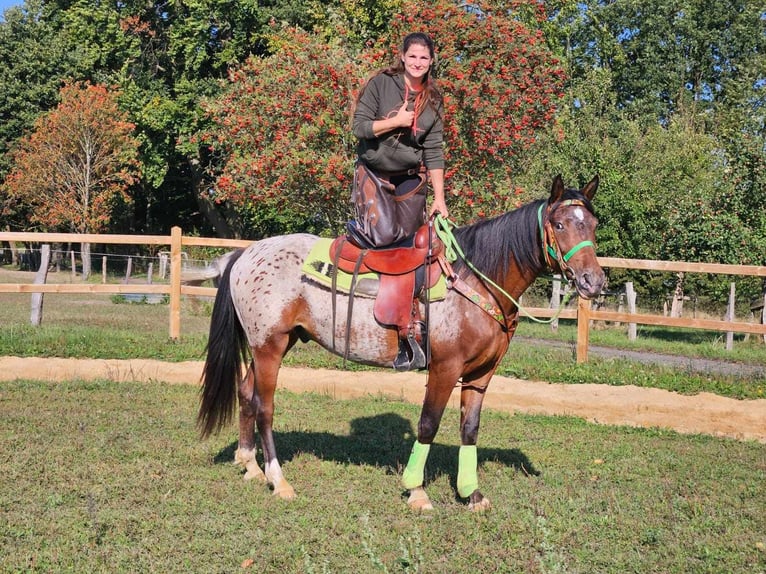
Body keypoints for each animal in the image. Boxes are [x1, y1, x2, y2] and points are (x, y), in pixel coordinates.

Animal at [198, 174, 608, 512]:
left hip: (271, 345)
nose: (593, 281)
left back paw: (250, 465)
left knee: (246, 393)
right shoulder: (445, 369)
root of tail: (245, 254)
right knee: (264, 407)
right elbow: (428, 424)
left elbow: (470, 428)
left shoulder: (481, 374)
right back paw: (278, 480)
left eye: (592, 224)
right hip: (269, 347)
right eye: (559, 224)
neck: (474, 279)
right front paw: (417, 490)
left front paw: (471, 494)